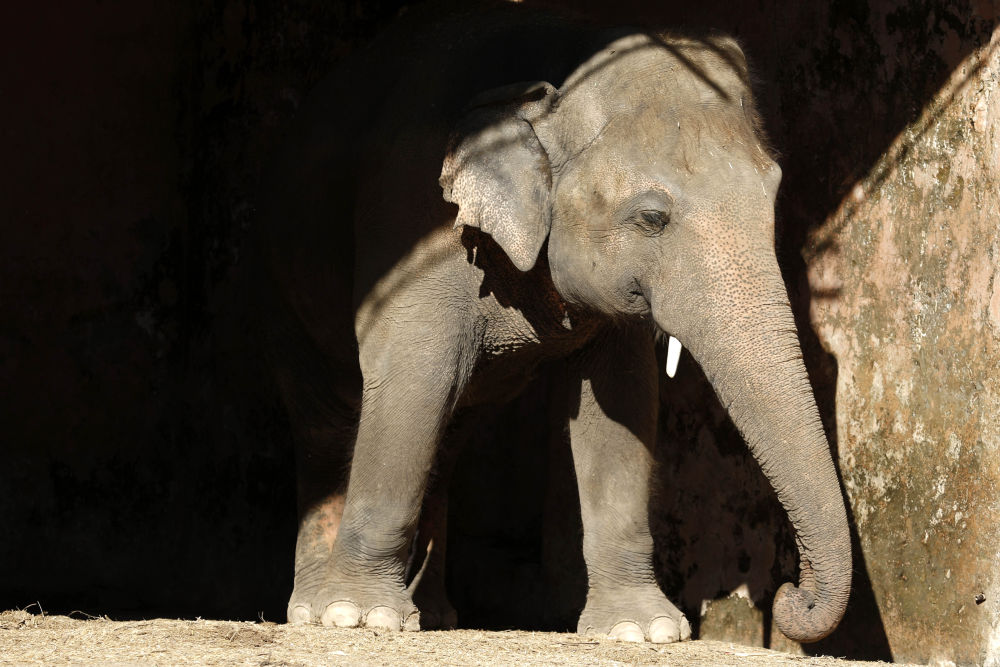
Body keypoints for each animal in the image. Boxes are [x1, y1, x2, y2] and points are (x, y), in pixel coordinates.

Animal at [258, 0, 852, 648]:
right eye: (652, 218)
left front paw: (640, 630)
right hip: (283, 286)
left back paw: (434, 615)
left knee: (450, 431)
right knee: (327, 422)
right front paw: (361, 618)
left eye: (773, 195)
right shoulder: (415, 221)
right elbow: (416, 374)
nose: (791, 598)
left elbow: (621, 403)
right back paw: (315, 610)